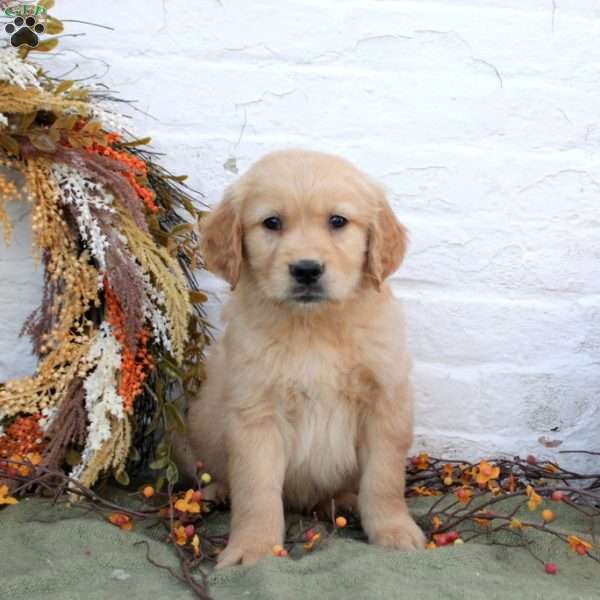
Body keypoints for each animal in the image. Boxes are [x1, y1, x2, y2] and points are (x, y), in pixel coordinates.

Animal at [185, 148, 424, 564]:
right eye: (272, 223)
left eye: (337, 221)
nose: (307, 269)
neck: (314, 326)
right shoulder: (256, 412)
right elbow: (256, 490)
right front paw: (253, 548)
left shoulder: (386, 401)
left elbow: (383, 478)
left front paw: (394, 530)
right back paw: (217, 493)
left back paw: (344, 502)